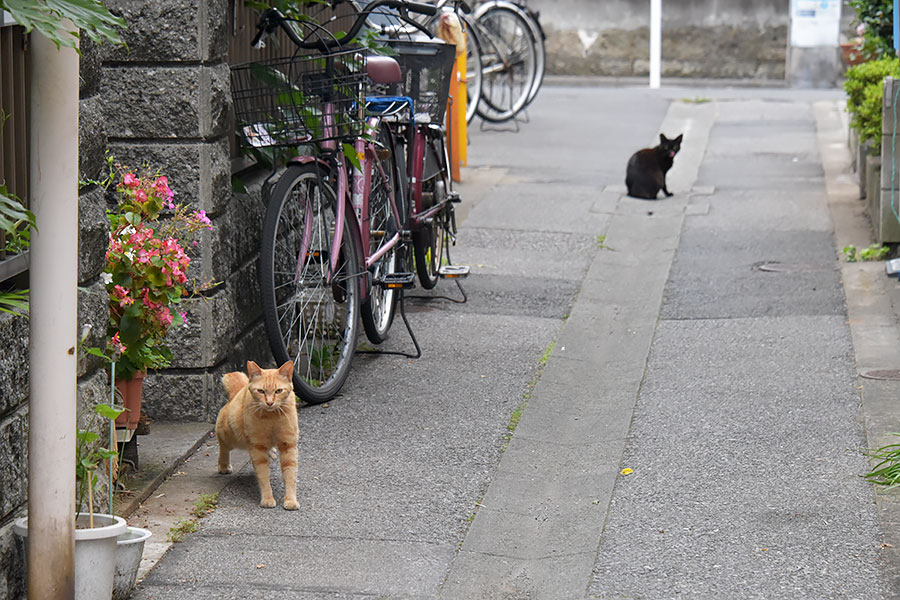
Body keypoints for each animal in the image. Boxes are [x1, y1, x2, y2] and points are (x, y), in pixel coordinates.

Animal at [216, 360, 300, 510]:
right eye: (261, 391)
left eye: (278, 391)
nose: (270, 402)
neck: (272, 416)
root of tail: (239, 390)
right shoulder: (258, 448)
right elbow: (263, 476)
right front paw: (267, 498)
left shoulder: (288, 445)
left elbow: (290, 474)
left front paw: (290, 500)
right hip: (230, 436)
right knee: (223, 447)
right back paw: (224, 465)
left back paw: (271, 451)